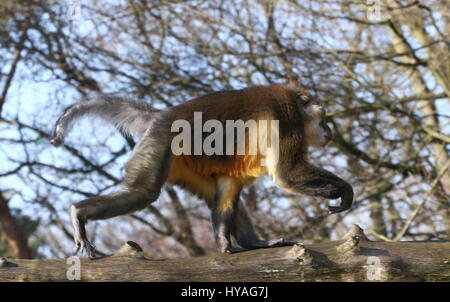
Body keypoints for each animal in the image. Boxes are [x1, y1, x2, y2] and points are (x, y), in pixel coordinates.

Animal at [49, 85, 352, 258]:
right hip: (161, 142)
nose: (328, 130)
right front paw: (340, 190)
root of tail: (163, 115)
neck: (297, 108)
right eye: (323, 118)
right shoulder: (287, 116)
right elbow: (286, 176)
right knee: (143, 192)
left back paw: (241, 242)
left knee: (228, 185)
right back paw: (78, 212)